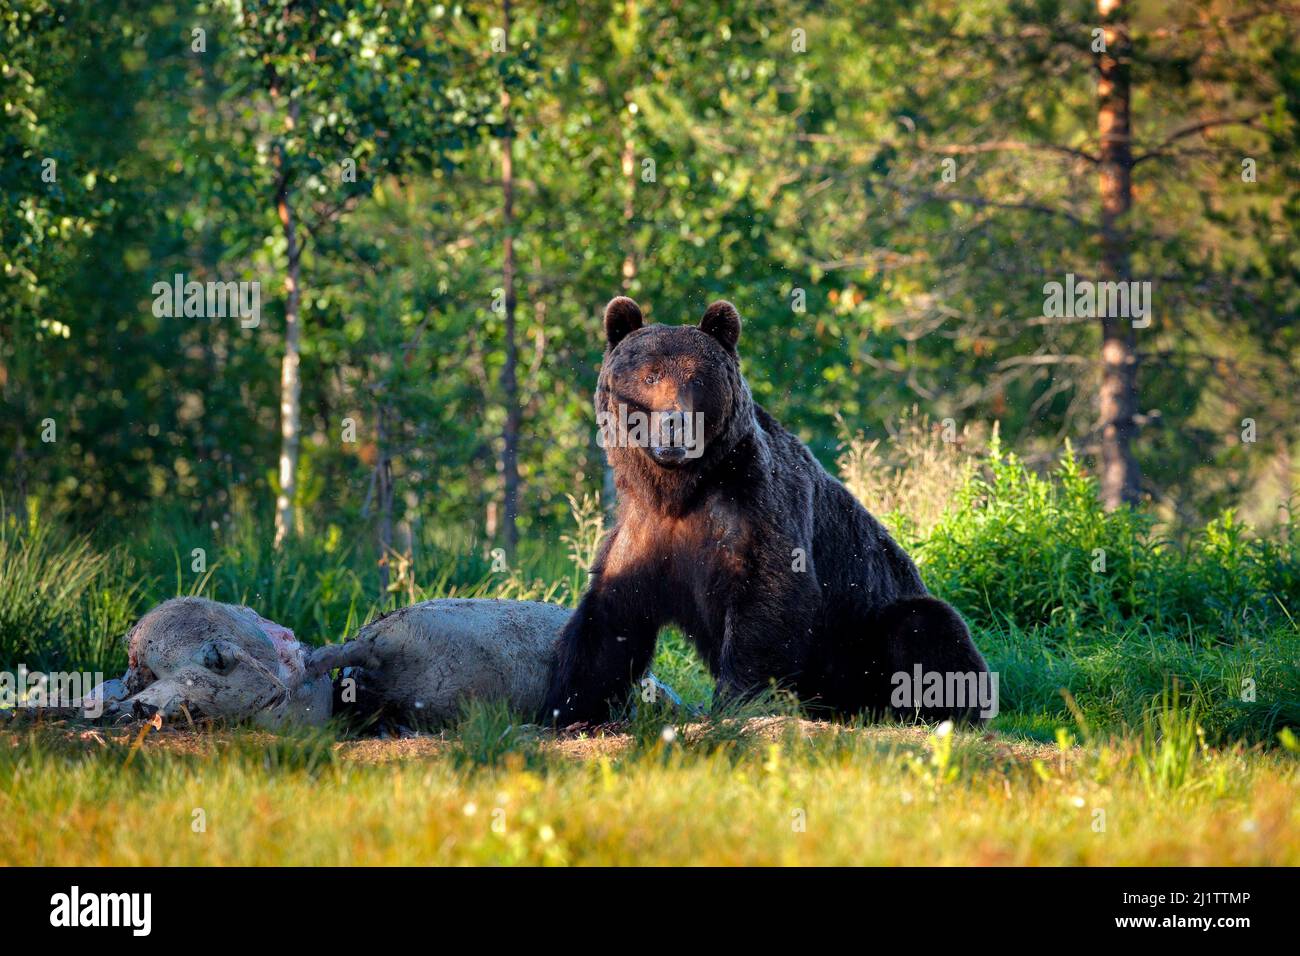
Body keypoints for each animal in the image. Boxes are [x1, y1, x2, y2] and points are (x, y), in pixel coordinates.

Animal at [540, 296, 990, 727]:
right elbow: (610, 619)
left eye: (696, 378)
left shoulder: (754, 507)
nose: (674, 424)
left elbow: (769, 597)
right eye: (650, 375)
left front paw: (738, 701)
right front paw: (568, 705)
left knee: (927, 626)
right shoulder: (643, 529)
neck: (679, 489)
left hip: (864, 635)